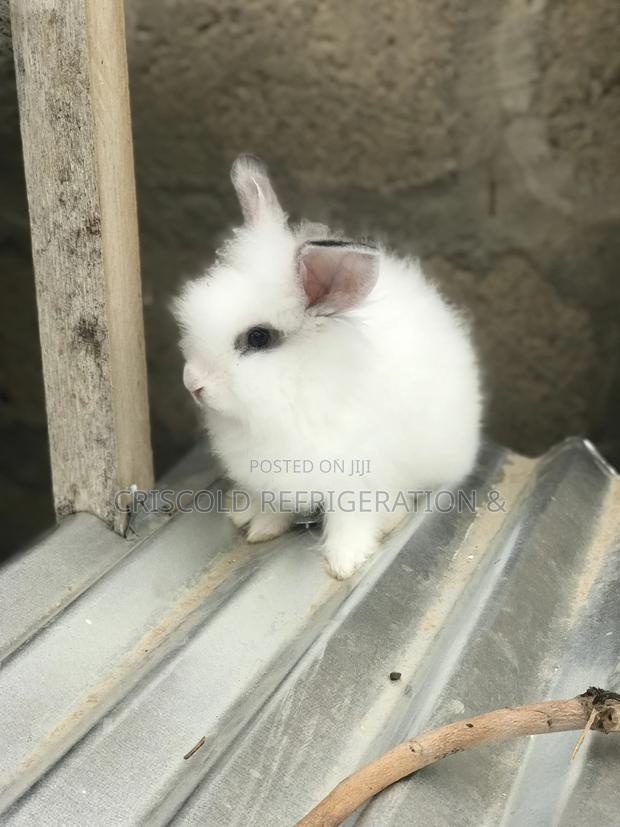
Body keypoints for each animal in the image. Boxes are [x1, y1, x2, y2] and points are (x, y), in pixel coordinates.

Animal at [174, 154, 482, 579]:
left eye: (258, 338)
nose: (193, 383)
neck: (298, 391)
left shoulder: (357, 481)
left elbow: (351, 523)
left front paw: (344, 562)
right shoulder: (272, 481)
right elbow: (274, 507)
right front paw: (261, 529)